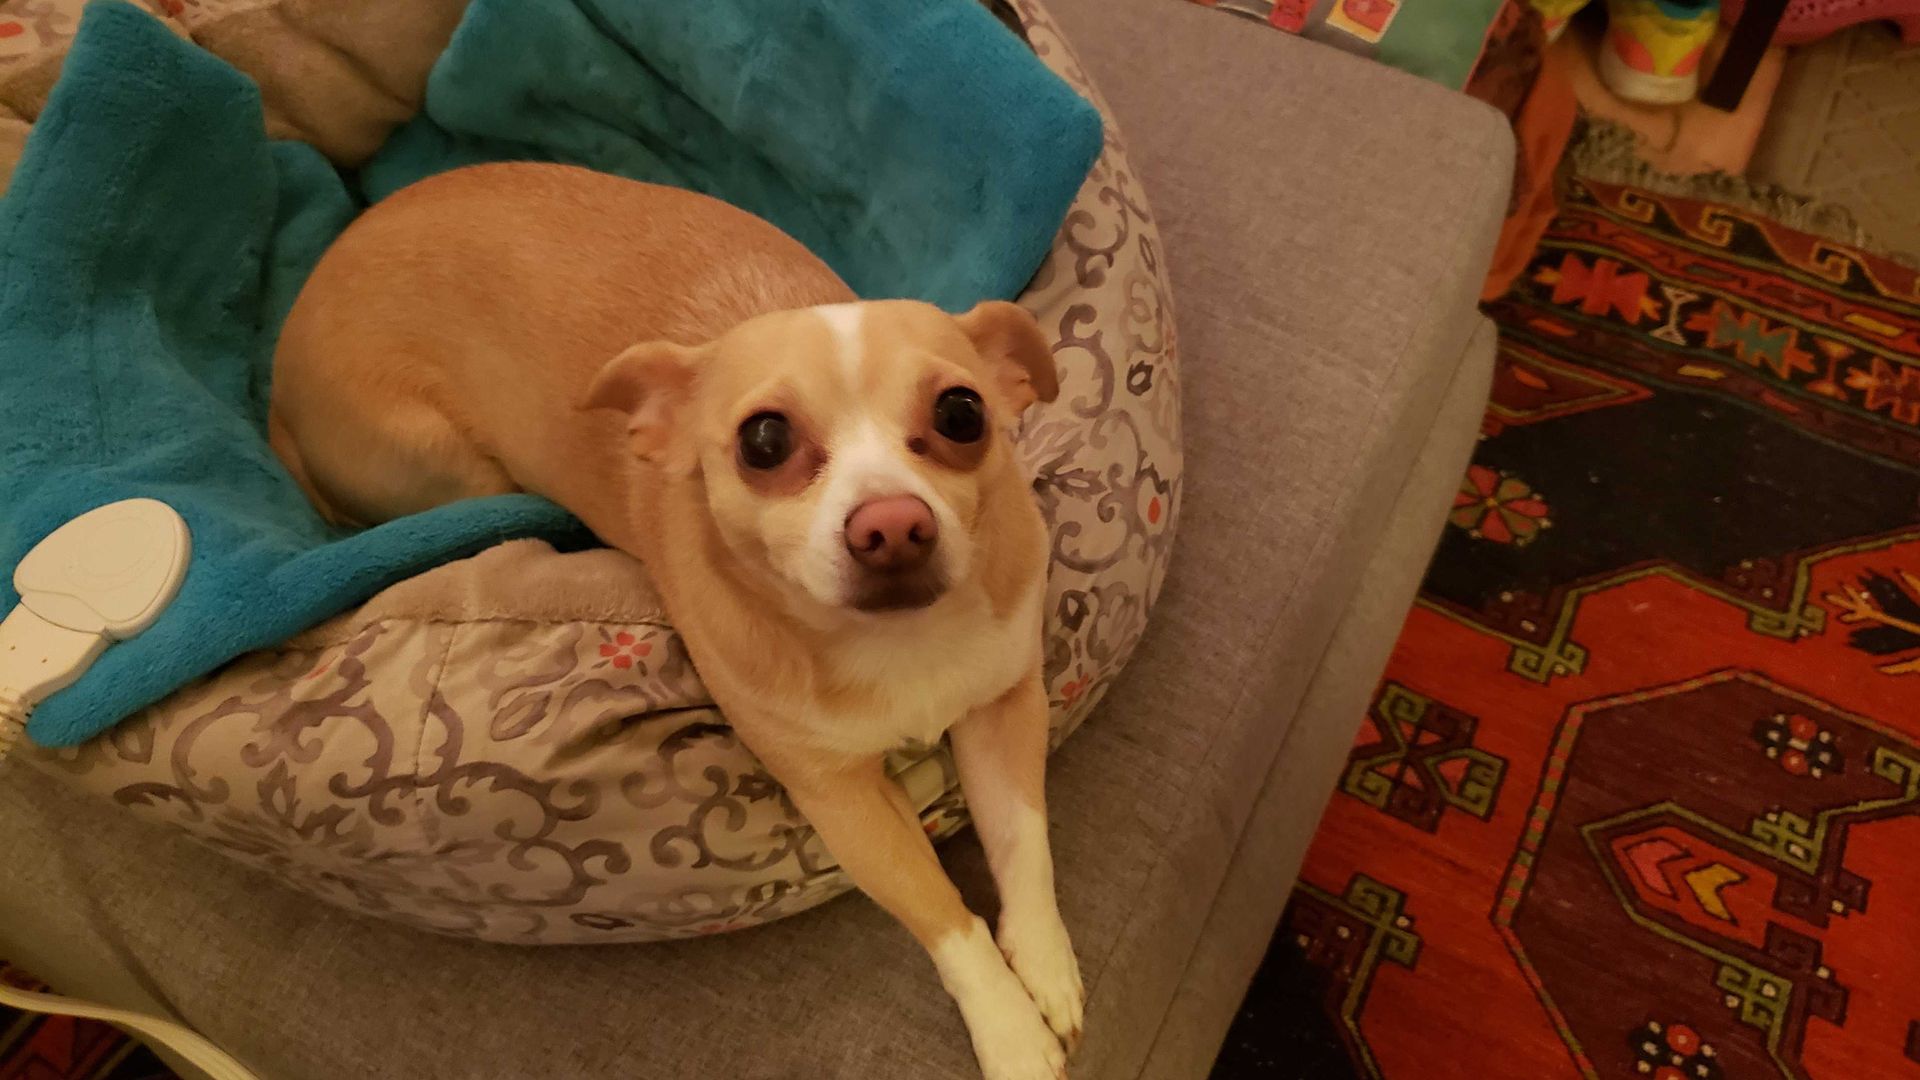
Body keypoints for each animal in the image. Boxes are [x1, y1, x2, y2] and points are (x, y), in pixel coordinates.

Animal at [268, 161, 1082, 1076]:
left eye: (962, 416)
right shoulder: (841, 801)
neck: (896, 642)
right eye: (763, 441)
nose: (893, 525)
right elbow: (942, 915)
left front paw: (1046, 969)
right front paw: (1010, 1032)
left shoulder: (1006, 707)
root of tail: (281, 376)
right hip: (453, 467)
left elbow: (1025, 844)